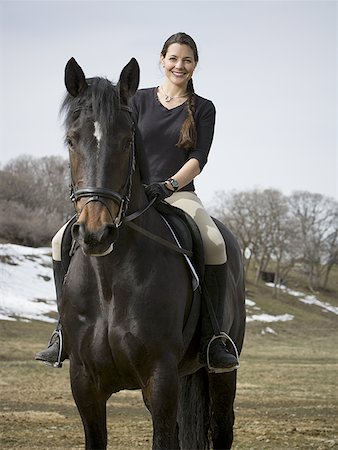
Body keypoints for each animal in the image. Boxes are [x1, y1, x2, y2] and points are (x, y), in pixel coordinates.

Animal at [58, 57, 246, 450]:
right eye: (71, 140)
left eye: (127, 141)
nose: (96, 233)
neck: (109, 280)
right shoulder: (84, 383)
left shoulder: (160, 378)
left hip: (222, 371)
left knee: (222, 426)